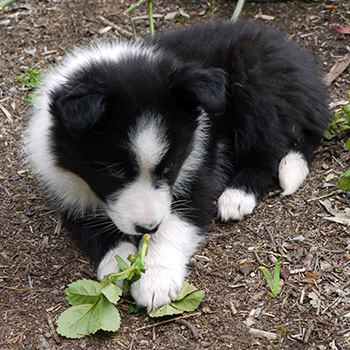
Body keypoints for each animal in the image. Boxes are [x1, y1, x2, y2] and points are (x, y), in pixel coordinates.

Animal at [25, 20, 330, 310]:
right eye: (116, 170)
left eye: (170, 165)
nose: (148, 228)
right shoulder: (67, 186)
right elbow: (93, 226)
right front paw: (118, 264)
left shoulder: (197, 167)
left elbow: (178, 220)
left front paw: (155, 277)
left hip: (256, 82)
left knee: (268, 152)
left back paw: (237, 195)